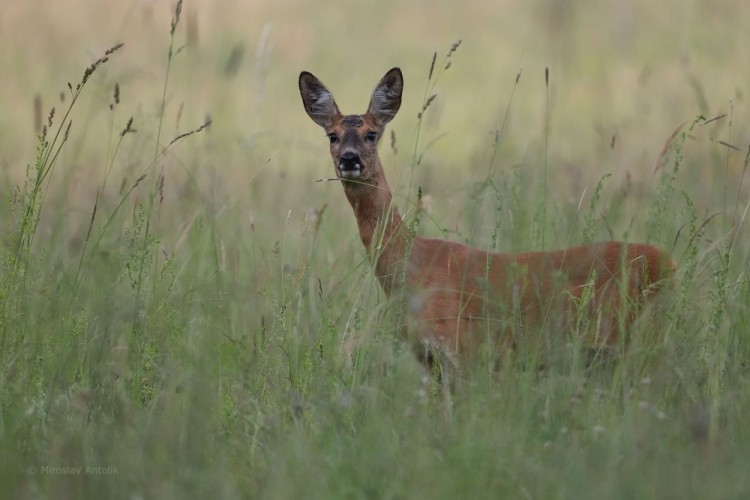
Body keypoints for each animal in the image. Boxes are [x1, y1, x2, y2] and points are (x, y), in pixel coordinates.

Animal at [298, 68, 676, 376]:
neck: (413, 268)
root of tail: (667, 261)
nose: (349, 159)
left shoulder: (464, 349)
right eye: (332, 136)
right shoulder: (431, 362)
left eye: (372, 133)